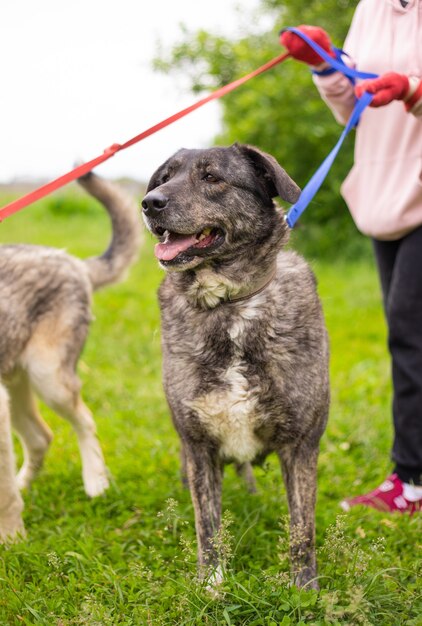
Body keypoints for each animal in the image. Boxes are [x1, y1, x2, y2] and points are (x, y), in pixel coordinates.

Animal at [0, 172, 142, 540]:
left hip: (48, 379)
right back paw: (25, 485)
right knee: (40, 438)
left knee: (84, 421)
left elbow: (4, 498)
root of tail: (73, 261)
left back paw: (96, 482)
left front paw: (13, 540)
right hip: (18, 388)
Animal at [143, 144, 332, 588]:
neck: (228, 307)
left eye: (212, 177)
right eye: (164, 179)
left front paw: (305, 589)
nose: (149, 203)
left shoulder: (301, 445)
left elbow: (302, 528)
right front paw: (212, 586)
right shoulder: (198, 447)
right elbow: (207, 525)